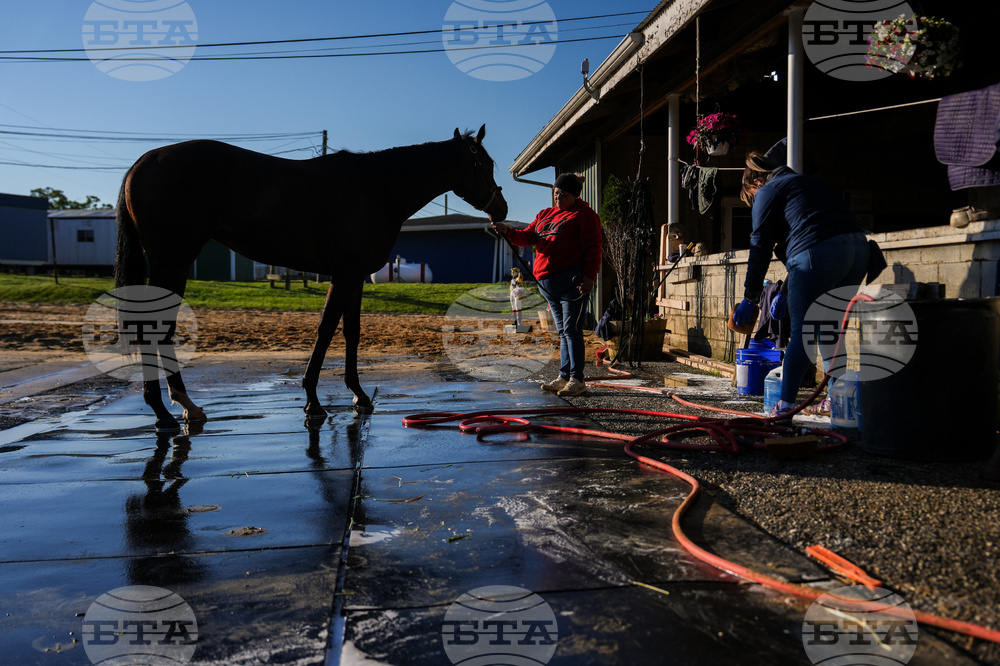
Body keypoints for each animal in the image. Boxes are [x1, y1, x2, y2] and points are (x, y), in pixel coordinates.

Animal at [114, 125, 508, 431]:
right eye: (484, 164)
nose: (501, 209)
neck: (378, 188)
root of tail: (141, 164)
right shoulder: (346, 273)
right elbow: (327, 328)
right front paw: (313, 400)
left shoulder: (353, 275)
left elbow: (351, 330)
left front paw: (358, 395)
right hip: (173, 260)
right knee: (155, 328)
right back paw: (173, 408)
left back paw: (172, 408)